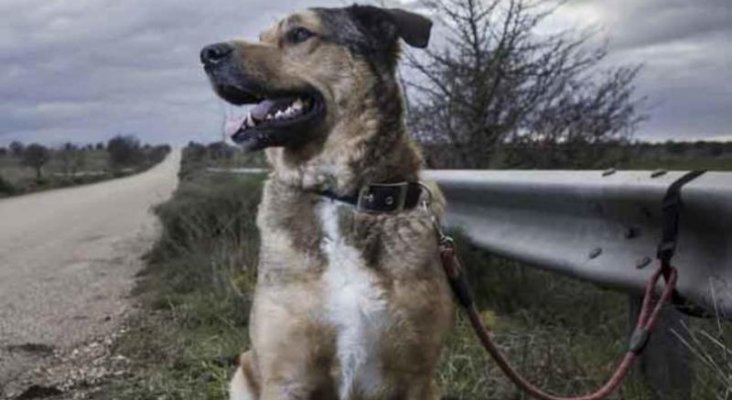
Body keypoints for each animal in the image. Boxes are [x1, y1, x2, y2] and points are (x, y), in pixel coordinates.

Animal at [203, 4, 454, 398]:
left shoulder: (417, 377)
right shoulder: (286, 376)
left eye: (299, 34)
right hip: (243, 375)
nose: (207, 54)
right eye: (261, 37)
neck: (339, 195)